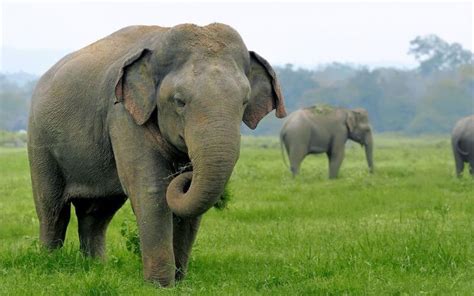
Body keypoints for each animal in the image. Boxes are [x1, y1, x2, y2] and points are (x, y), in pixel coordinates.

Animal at [26, 24, 286, 288]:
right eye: (179, 101)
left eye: (244, 102)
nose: (186, 171)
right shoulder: (123, 116)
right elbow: (150, 192)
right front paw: (159, 286)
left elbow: (186, 208)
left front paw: (179, 283)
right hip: (40, 141)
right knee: (53, 209)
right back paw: (50, 262)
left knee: (96, 213)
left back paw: (95, 267)